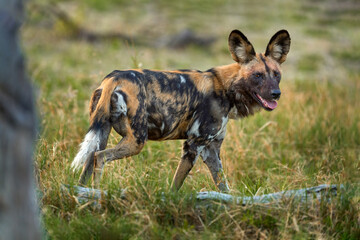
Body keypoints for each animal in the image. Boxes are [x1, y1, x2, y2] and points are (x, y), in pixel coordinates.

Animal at [70, 29, 290, 192]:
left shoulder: (211, 150)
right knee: (100, 157)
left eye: (276, 74)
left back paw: (82, 194)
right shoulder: (193, 144)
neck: (225, 87)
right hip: (136, 141)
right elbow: (175, 187)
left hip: (102, 133)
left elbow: (223, 186)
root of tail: (114, 77)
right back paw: (98, 194)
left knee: (89, 160)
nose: (276, 94)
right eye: (258, 75)